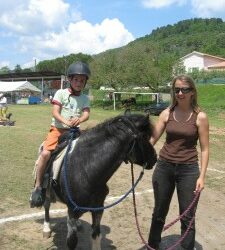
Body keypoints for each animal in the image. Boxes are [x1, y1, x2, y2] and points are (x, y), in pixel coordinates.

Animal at [42, 112, 156, 249]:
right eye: (146, 136)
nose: (155, 158)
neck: (86, 171)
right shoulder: (72, 212)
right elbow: (72, 242)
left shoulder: (98, 209)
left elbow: (96, 234)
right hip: (46, 190)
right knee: (46, 205)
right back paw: (46, 228)